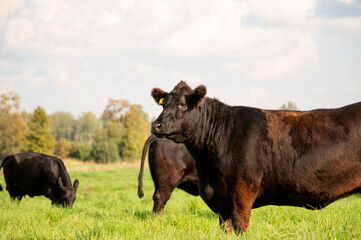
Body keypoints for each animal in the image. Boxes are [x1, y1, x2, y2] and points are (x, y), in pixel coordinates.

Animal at [149, 81, 360, 233]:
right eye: (163, 104)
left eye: (182, 104)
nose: (155, 125)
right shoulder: (221, 204)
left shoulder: (242, 194)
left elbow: (240, 226)